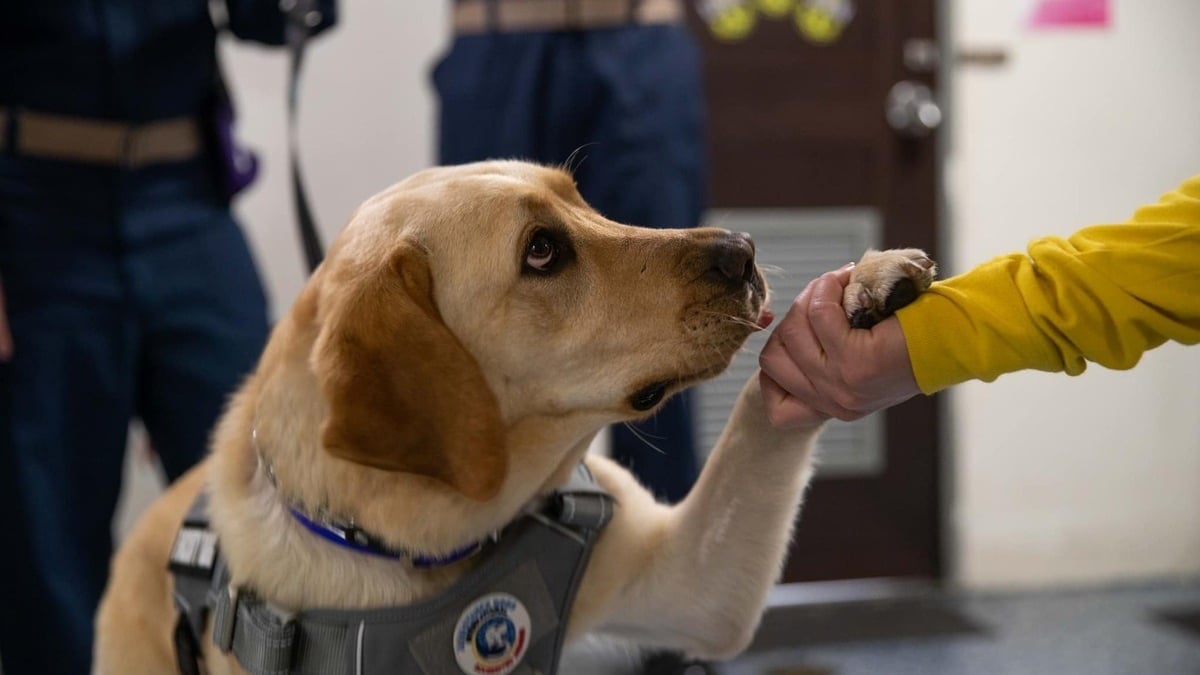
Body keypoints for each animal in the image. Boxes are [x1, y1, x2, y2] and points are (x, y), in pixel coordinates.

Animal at [96, 159, 936, 667]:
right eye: (542, 251)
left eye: (582, 200)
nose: (743, 249)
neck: (428, 549)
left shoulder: (695, 588)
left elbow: (759, 421)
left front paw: (862, 285)